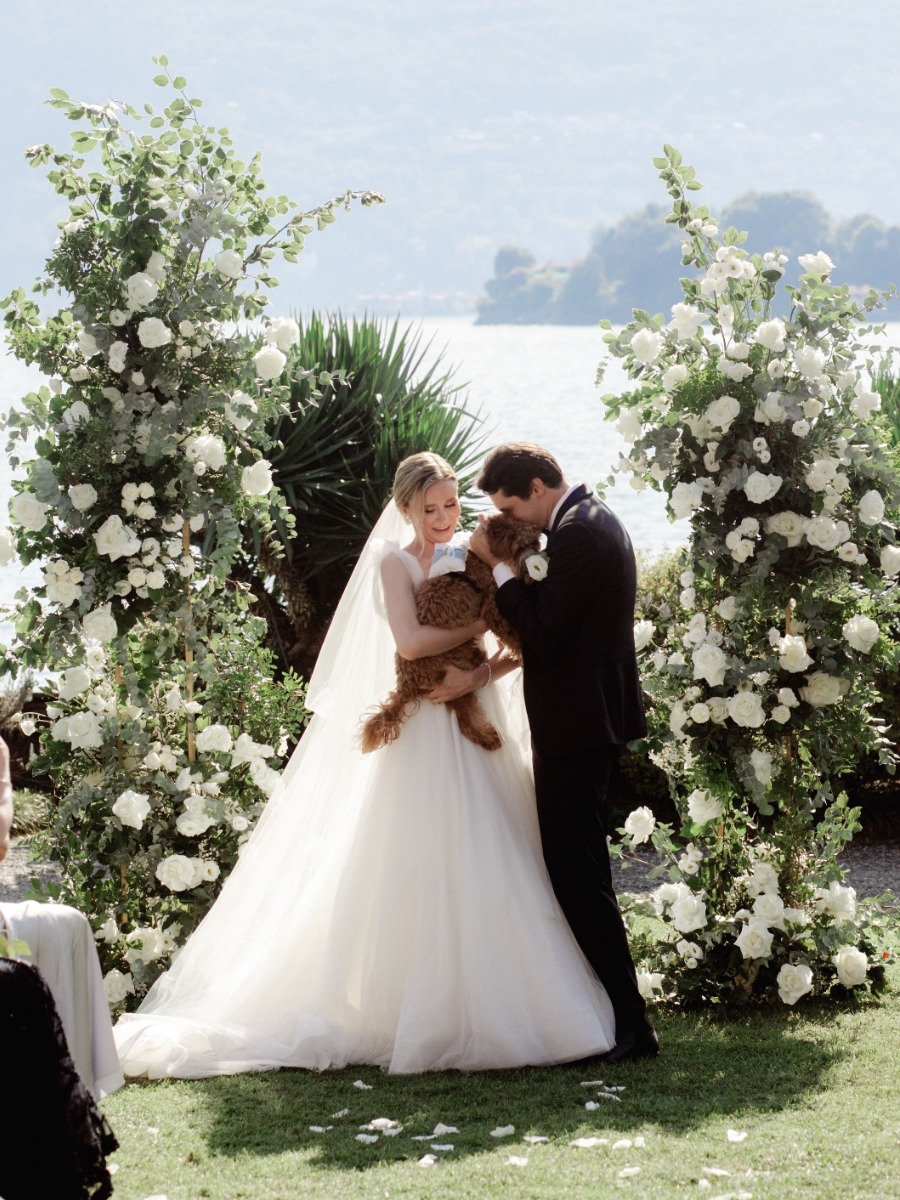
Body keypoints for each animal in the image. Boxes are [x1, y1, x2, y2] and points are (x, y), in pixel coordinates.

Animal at [362, 513, 542, 753]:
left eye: (536, 543)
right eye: (521, 545)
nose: (535, 568)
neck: (482, 562)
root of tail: (406, 686)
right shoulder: (495, 612)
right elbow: (515, 638)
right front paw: (523, 655)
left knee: (465, 716)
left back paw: (489, 737)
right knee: (465, 715)